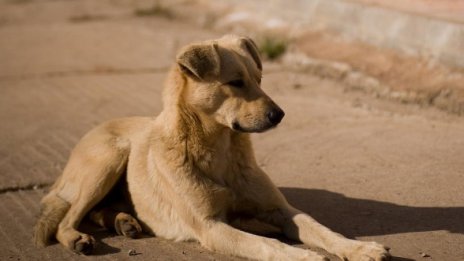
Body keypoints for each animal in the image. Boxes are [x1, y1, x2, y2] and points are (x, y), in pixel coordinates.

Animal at [32, 35, 390, 260]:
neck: (222, 152)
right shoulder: (211, 227)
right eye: (235, 82)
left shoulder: (283, 210)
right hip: (111, 157)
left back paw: (123, 221)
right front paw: (304, 257)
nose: (280, 115)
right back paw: (77, 237)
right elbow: (267, 246)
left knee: (96, 210)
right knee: (69, 217)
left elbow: (323, 230)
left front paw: (360, 249)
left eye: (260, 79)